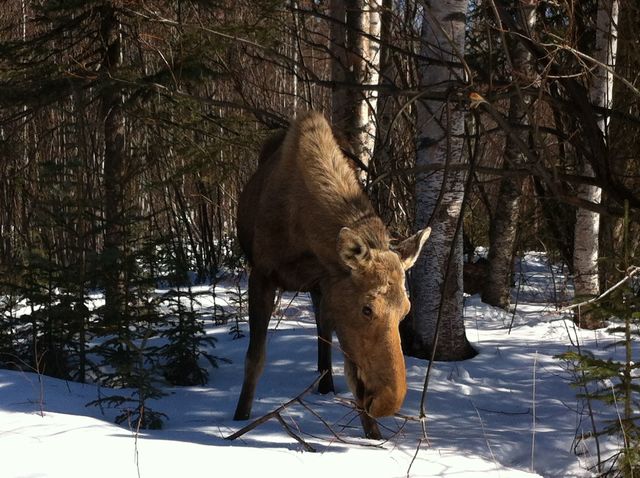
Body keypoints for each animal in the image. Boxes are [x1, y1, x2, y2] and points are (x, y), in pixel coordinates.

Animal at [231, 110, 430, 438]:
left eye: (405, 310)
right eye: (366, 308)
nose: (387, 401)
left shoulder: (330, 282)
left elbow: (352, 372)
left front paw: (374, 435)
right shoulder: (261, 273)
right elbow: (254, 358)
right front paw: (239, 419)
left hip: (321, 291)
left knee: (323, 337)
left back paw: (326, 385)